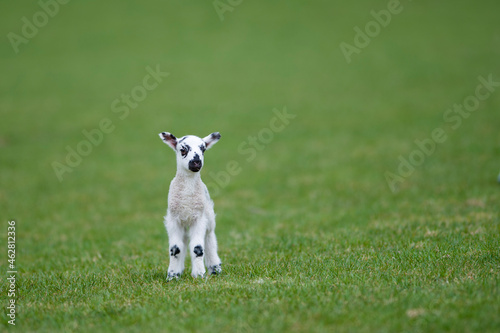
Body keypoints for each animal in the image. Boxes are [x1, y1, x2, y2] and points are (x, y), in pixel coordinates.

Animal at [159, 131, 224, 278]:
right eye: (183, 150)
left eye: (203, 149)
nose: (196, 162)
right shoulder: (173, 220)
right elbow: (175, 249)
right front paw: (172, 276)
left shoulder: (198, 219)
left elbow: (197, 248)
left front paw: (199, 275)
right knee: (183, 241)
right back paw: (179, 270)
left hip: (208, 216)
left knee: (210, 239)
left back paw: (215, 268)